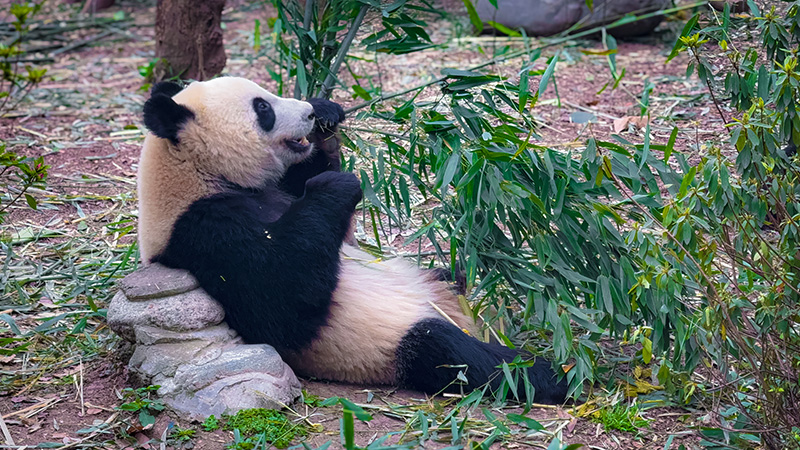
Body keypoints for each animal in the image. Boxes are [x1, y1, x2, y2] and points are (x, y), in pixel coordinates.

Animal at [136, 76, 569, 404]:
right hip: (386, 346)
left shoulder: (271, 190)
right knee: (452, 353)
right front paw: (336, 184)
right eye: (263, 109)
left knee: (453, 279)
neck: (196, 174)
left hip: (437, 287)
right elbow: (281, 300)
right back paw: (553, 374)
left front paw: (328, 119)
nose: (308, 113)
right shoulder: (203, 231)